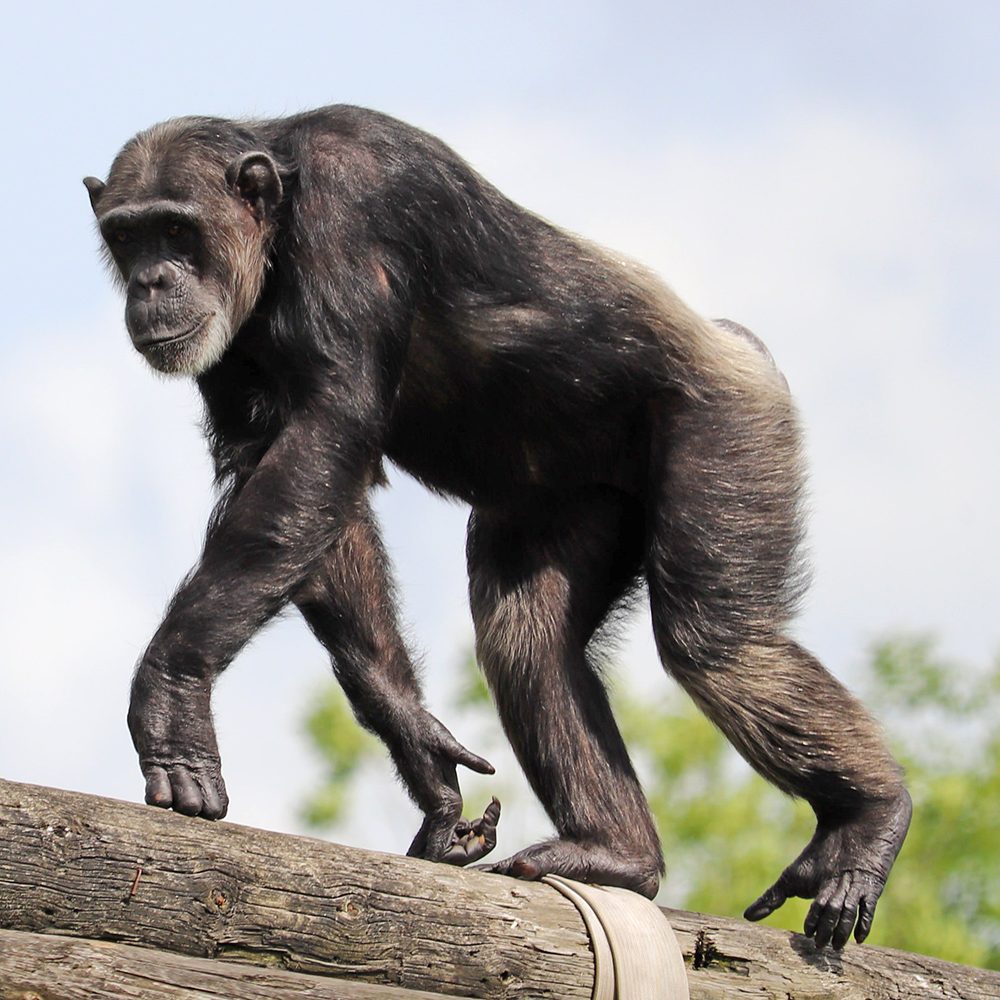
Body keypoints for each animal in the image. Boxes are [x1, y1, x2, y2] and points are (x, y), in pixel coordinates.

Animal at [86, 105, 912, 948]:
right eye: (128, 237)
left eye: (177, 231)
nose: (152, 279)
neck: (280, 225)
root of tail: (740, 346)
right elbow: (293, 481)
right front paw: (419, 746)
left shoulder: (352, 209)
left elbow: (327, 434)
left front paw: (172, 696)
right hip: (577, 497)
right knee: (529, 638)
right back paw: (614, 853)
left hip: (733, 423)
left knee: (720, 644)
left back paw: (868, 818)